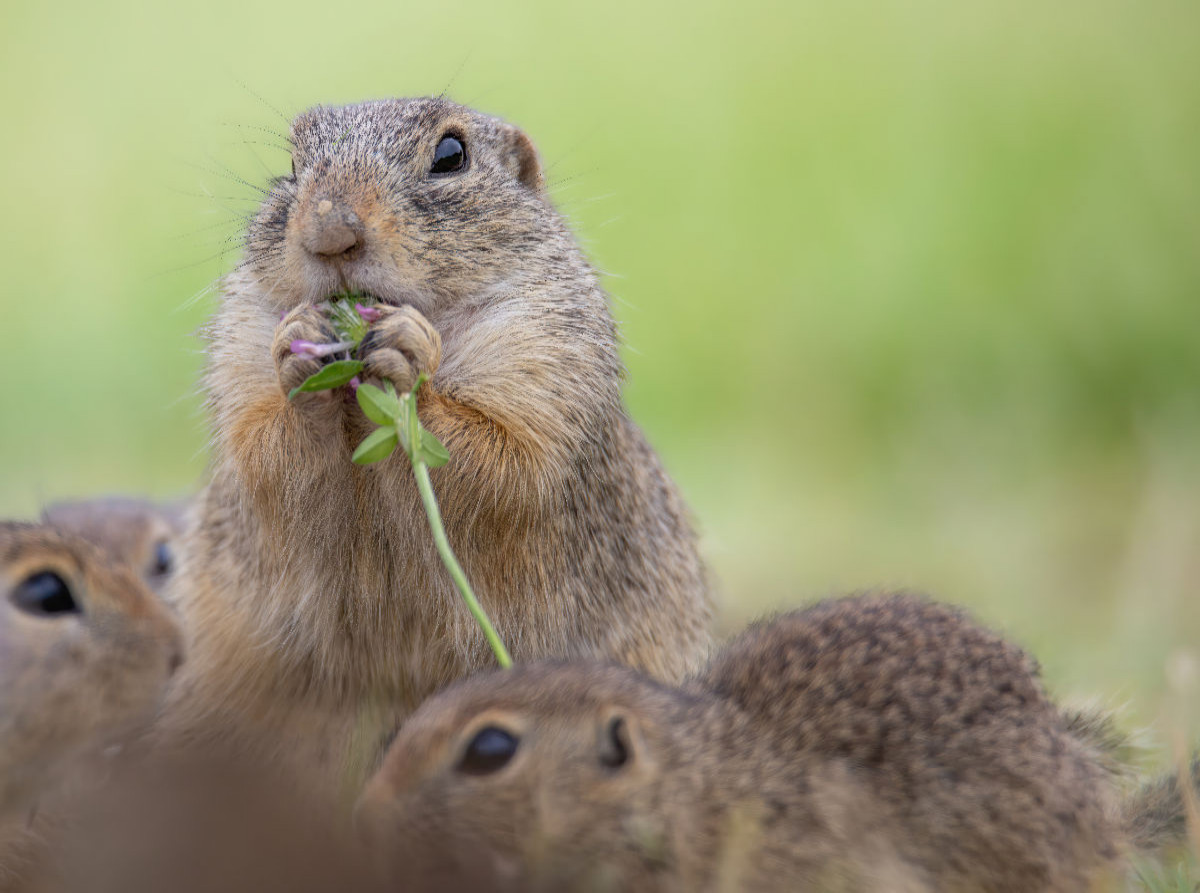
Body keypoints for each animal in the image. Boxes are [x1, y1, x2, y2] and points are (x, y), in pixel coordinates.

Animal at [165, 96, 715, 782]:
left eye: (451, 156)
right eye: (290, 165)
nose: (330, 233)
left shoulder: (548, 354)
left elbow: (506, 461)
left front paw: (409, 351)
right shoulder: (238, 354)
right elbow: (263, 453)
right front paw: (299, 350)